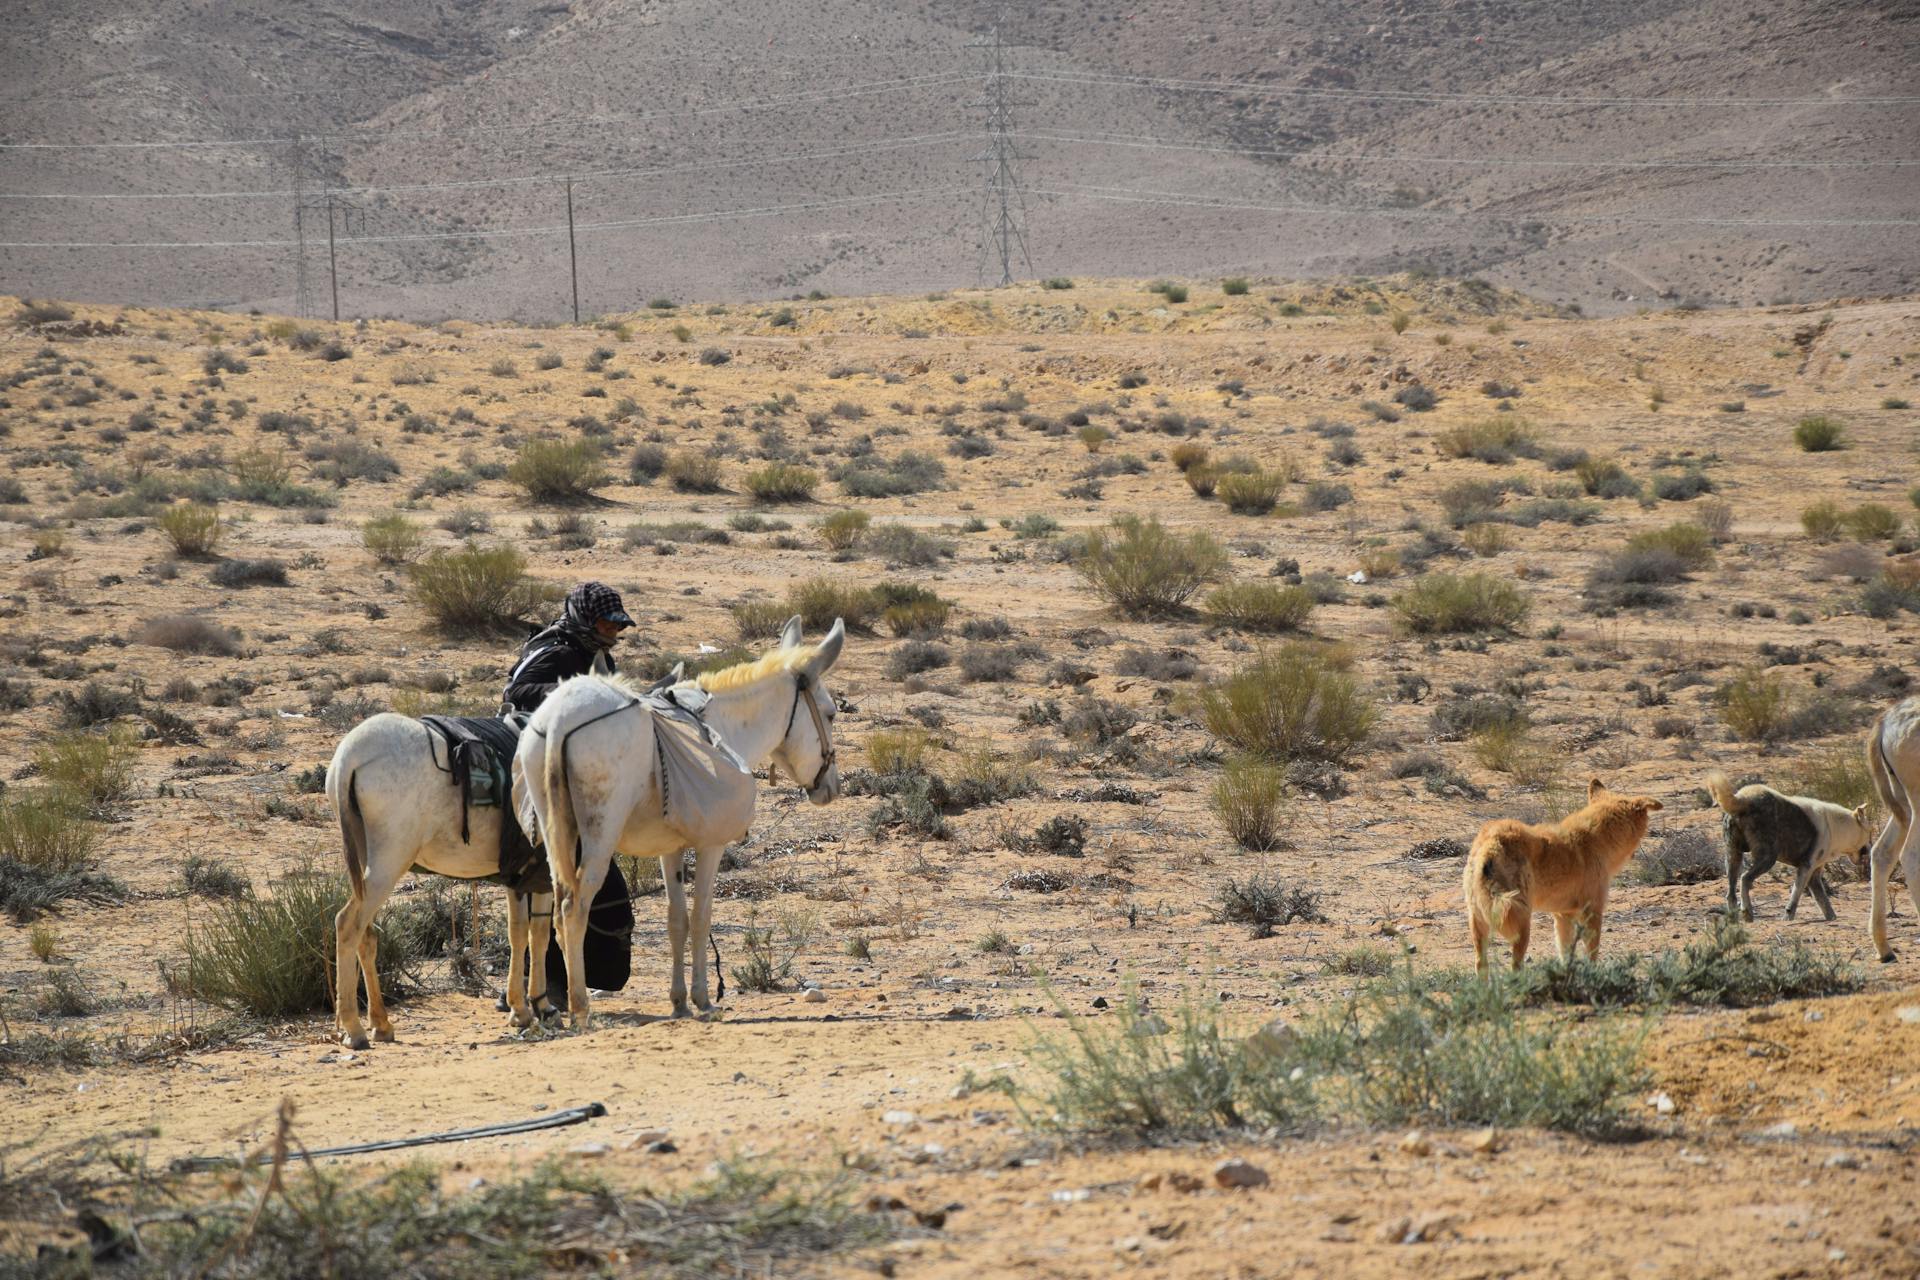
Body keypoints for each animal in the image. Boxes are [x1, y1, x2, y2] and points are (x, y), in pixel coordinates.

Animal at [518, 617, 840, 1028]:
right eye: (830, 713)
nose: (831, 787)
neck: (718, 730)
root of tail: (559, 720)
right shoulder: (710, 846)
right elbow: (702, 917)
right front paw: (702, 999)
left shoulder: (669, 850)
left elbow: (677, 920)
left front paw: (679, 1001)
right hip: (597, 837)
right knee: (573, 908)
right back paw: (579, 1007)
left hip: (550, 833)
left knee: (542, 912)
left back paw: (538, 1006)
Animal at [1466, 782, 1666, 971]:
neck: (1598, 840)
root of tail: (1493, 841)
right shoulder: (1592, 912)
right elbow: (1592, 955)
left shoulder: (1563, 915)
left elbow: (1565, 956)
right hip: (1521, 923)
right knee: (1515, 967)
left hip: (1479, 921)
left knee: (1480, 964)